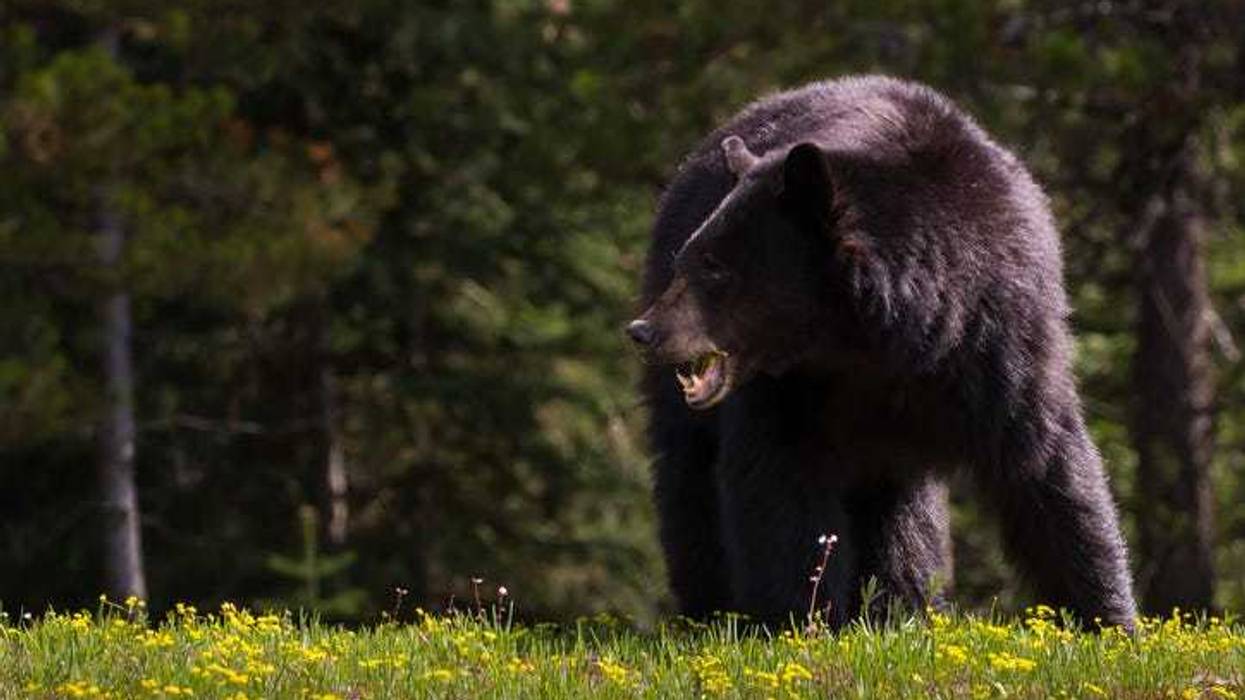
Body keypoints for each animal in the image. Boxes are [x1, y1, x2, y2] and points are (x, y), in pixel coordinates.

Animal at [627, 75, 1137, 629]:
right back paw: (712, 610)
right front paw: (801, 618)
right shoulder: (788, 390)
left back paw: (902, 606)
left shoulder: (998, 340)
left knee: (904, 519)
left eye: (716, 267)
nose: (645, 331)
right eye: (690, 257)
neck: (872, 342)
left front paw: (1110, 620)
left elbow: (1049, 469)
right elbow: (779, 483)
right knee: (690, 479)